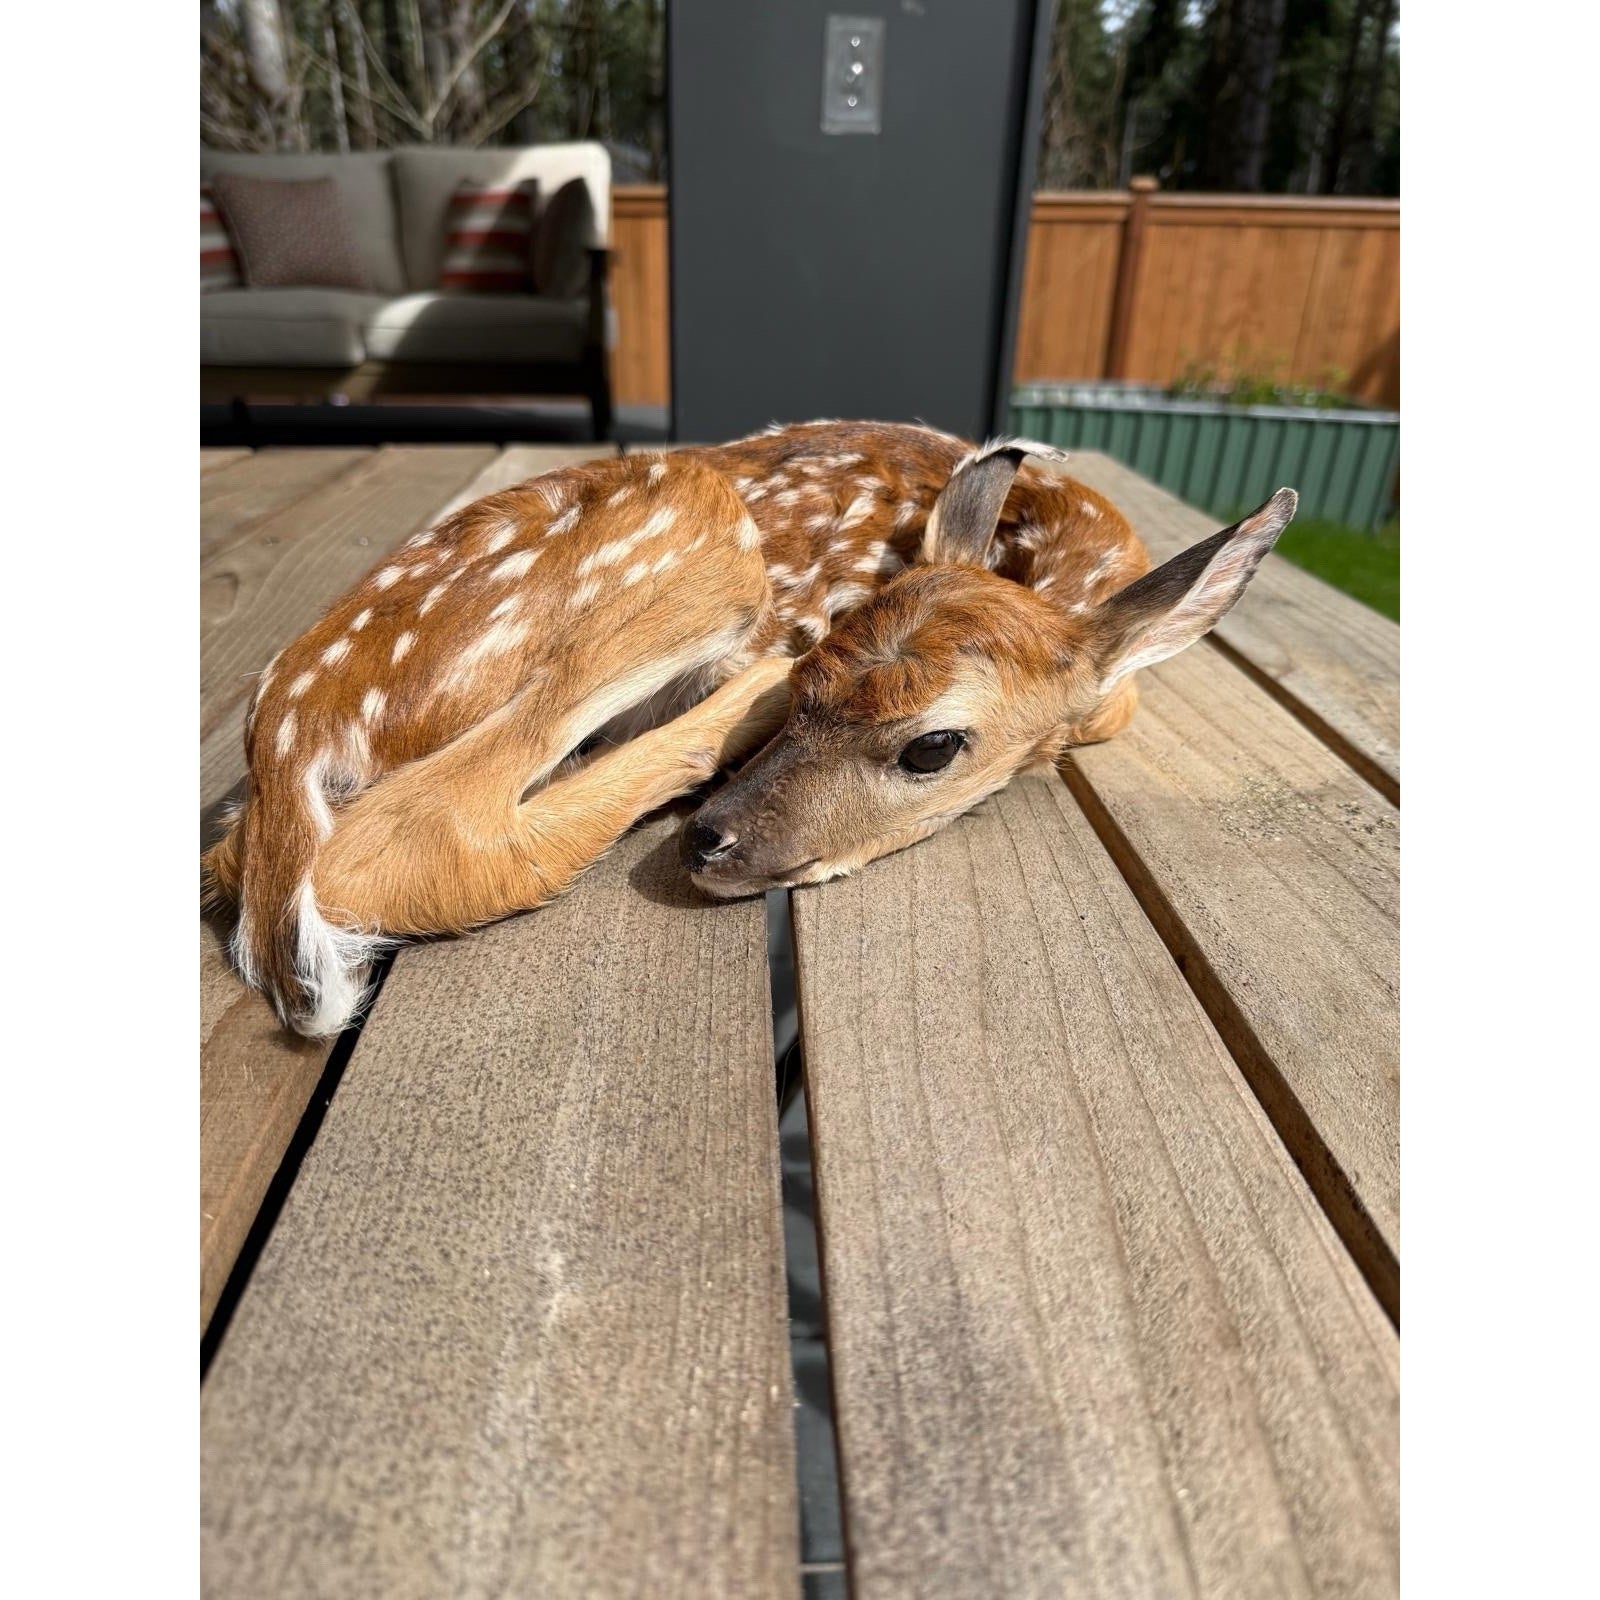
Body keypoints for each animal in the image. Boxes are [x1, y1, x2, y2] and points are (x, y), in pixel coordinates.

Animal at [203, 420, 1297, 1038]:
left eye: (932, 746)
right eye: (817, 675)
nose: (711, 840)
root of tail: (288, 733)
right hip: (698, 523)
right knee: (419, 834)